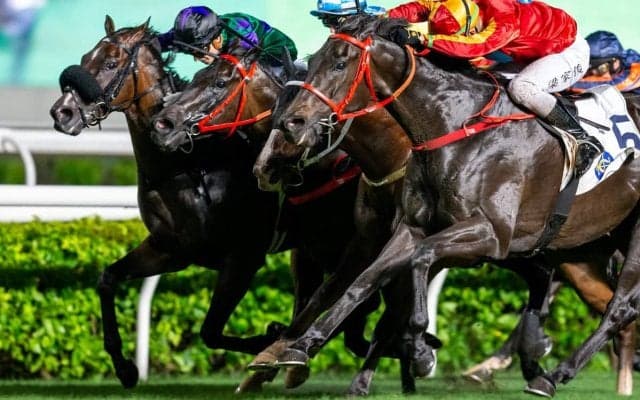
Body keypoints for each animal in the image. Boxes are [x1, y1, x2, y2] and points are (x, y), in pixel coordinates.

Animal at [48, 16, 370, 391]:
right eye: (85, 58)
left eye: (111, 63)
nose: (62, 113)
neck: (189, 164)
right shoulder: (171, 249)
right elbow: (107, 279)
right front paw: (125, 367)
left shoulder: (243, 258)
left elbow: (211, 332)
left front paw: (270, 341)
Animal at [268, 14, 640, 397]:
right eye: (314, 60)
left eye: (340, 63)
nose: (291, 123)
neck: (452, 125)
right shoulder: (412, 227)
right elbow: (364, 279)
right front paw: (300, 347)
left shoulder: (491, 234)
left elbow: (421, 260)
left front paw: (419, 352)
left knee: (618, 308)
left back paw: (551, 376)